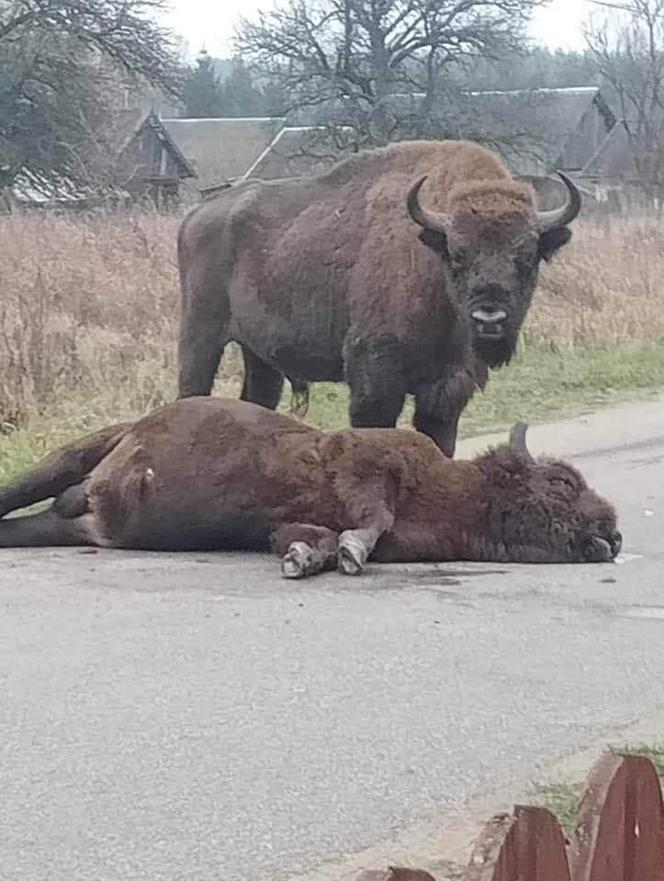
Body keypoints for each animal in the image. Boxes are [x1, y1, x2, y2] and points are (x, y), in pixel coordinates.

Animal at [0, 398, 624, 576]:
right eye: (562, 481)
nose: (613, 533)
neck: (459, 490)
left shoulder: (290, 521)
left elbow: (311, 535)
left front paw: (308, 558)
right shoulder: (369, 464)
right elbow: (373, 516)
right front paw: (348, 553)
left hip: (78, 524)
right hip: (70, 460)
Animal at [178, 139, 580, 454]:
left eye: (527, 257)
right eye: (457, 255)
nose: (489, 318)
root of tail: (196, 214)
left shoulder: (448, 389)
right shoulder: (375, 380)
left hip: (260, 357)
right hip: (201, 338)